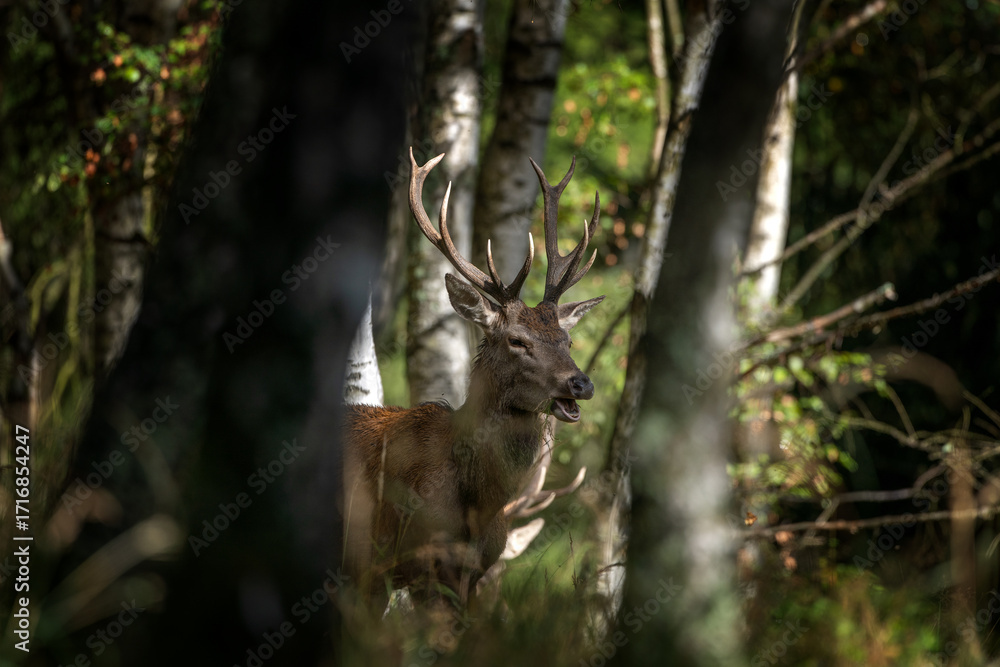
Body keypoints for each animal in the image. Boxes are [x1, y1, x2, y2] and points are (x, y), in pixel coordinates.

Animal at [343, 147, 604, 610]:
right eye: (517, 340)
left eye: (567, 339)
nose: (581, 384)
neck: (478, 505)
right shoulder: (406, 564)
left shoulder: (472, 574)